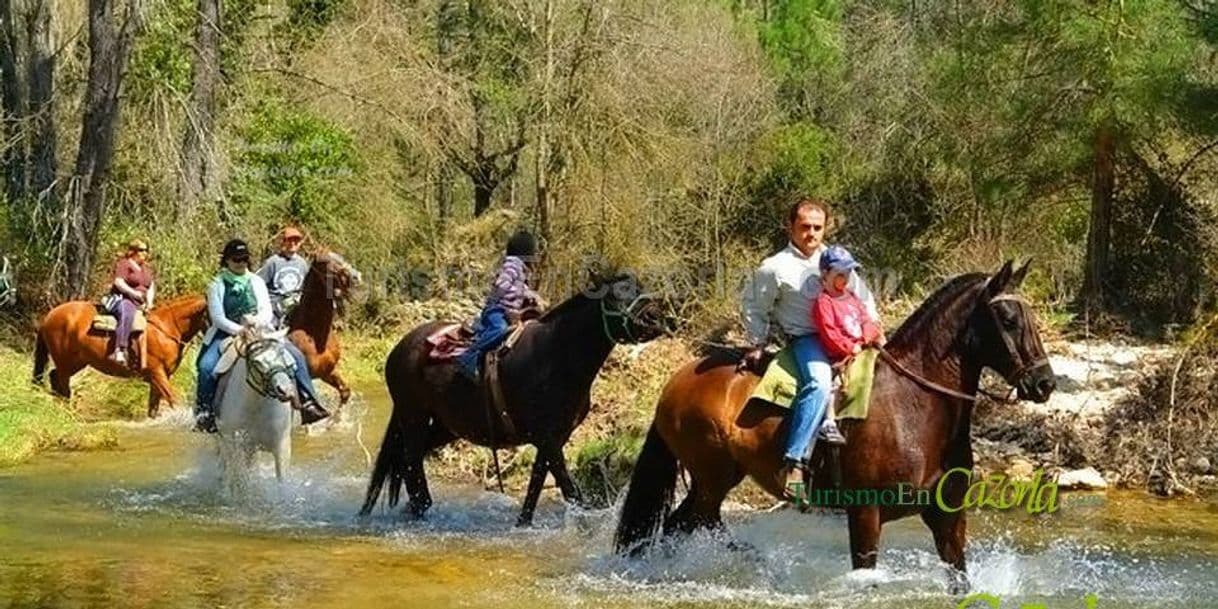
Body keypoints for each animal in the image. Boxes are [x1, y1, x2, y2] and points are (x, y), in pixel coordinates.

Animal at [32, 294, 209, 418]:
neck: (166, 329)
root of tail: (49, 316)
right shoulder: (157, 373)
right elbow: (174, 400)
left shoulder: (160, 378)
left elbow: (153, 407)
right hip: (65, 362)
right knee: (61, 384)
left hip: (76, 363)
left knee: (55, 378)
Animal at [214, 326, 302, 482]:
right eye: (256, 362)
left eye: (281, 353)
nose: (286, 390)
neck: (257, 405)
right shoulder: (233, 445)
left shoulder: (282, 447)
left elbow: (282, 481)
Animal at [355, 274, 672, 526]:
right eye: (616, 295)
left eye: (639, 287)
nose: (655, 317)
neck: (557, 356)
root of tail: (399, 348)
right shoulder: (548, 440)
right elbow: (570, 491)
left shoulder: (553, 439)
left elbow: (536, 486)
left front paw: (523, 524)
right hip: (414, 417)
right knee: (410, 461)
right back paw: (421, 511)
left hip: (445, 426)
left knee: (410, 459)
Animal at [618, 260, 1057, 589]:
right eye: (1007, 318)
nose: (1045, 383)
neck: (915, 405)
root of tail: (678, 380)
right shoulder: (865, 513)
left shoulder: (947, 516)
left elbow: (959, 577)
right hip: (713, 477)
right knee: (697, 523)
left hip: (714, 478)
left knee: (682, 526)